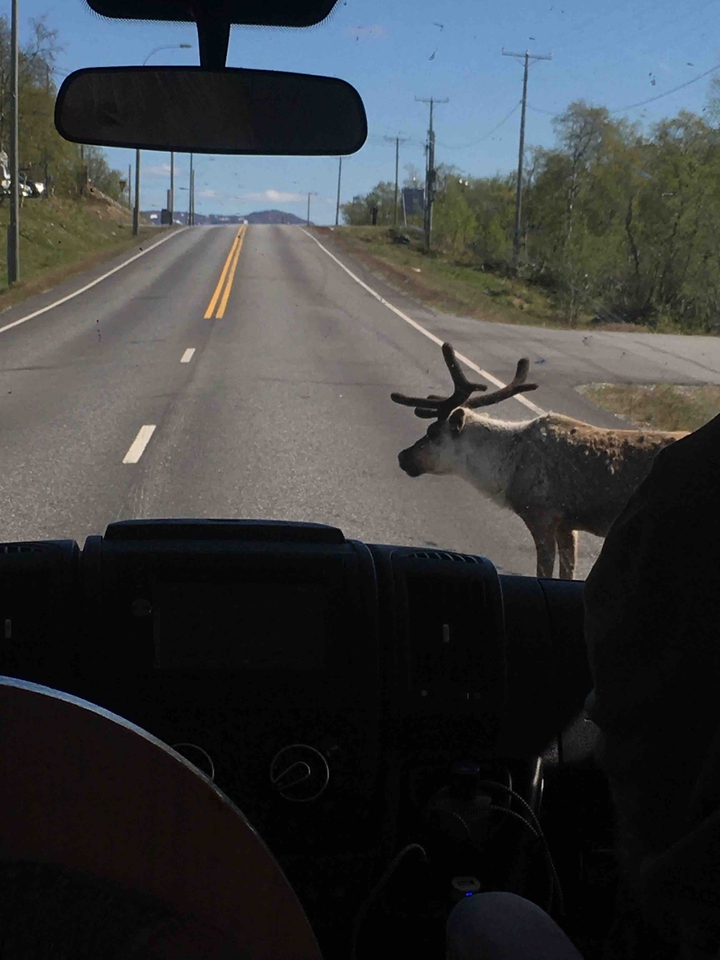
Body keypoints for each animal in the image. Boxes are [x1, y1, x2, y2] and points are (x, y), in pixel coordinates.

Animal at [392, 342, 687, 579]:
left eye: (432, 432)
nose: (403, 456)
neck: (506, 466)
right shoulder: (568, 526)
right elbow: (567, 574)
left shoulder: (542, 516)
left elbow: (543, 572)